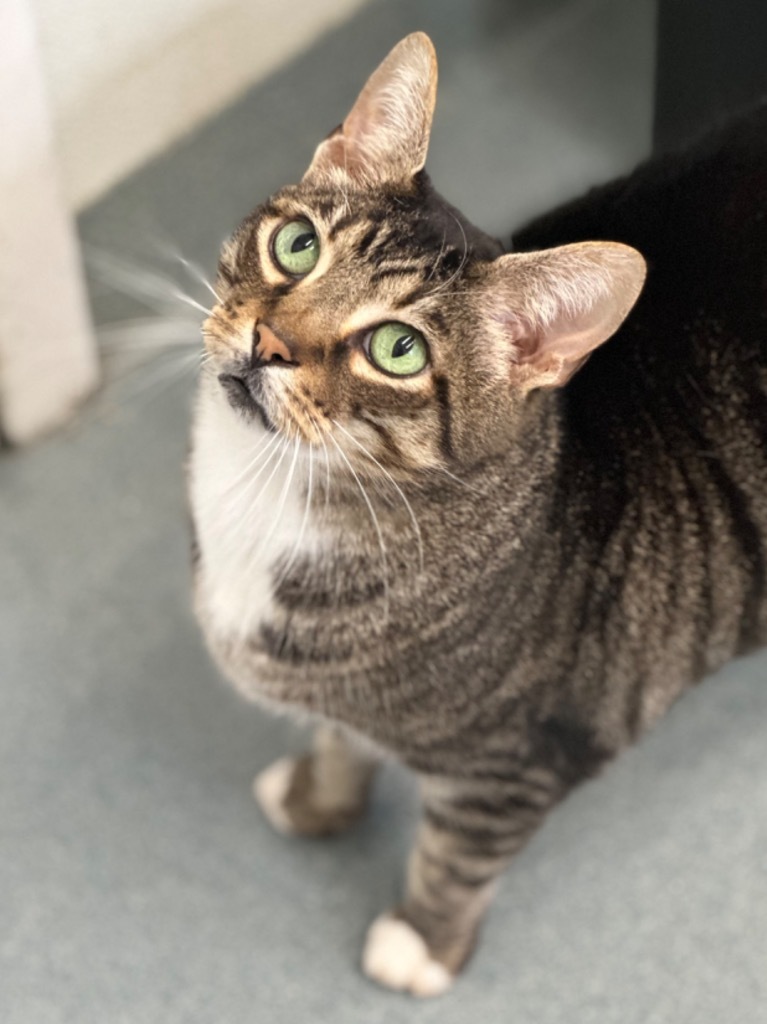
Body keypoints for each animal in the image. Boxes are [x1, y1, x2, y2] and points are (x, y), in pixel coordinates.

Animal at [187, 34, 765, 999]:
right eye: (297, 247)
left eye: (397, 349)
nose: (267, 343)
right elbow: (339, 738)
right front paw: (320, 799)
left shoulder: (518, 764)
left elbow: (455, 860)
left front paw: (421, 943)